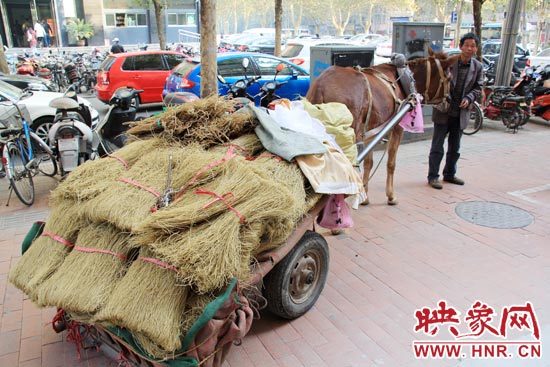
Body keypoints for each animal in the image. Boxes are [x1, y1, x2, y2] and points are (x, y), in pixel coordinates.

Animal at [306, 48, 462, 207]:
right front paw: (391, 196)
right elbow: (391, 162)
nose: (449, 101)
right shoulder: (397, 127)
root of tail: (321, 86)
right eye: (449, 77)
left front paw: (365, 196)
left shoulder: (370, 130)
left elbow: (368, 162)